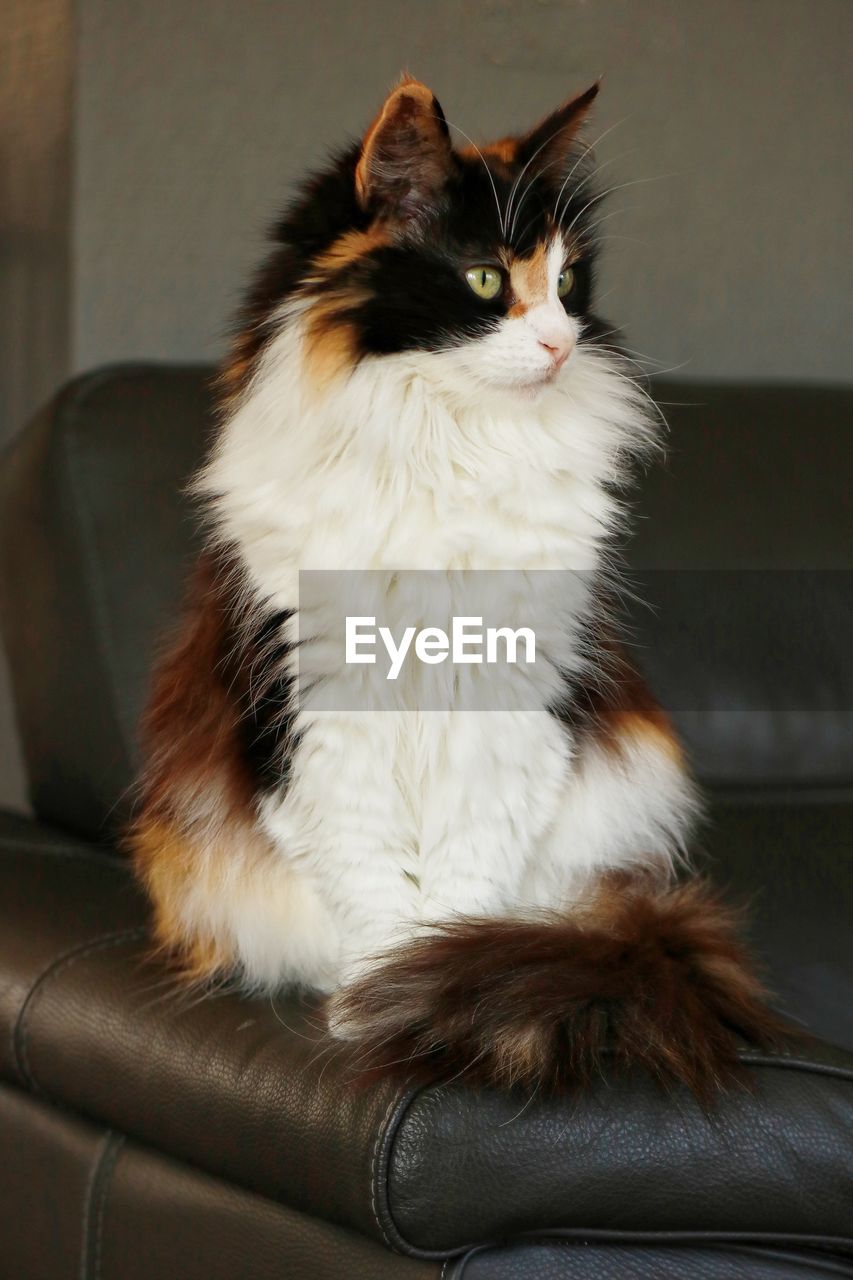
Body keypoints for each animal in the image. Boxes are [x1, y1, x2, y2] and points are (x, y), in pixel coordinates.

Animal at [129, 77, 778, 1100]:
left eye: (567, 282)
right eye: (484, 281)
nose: (559, 343)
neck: (445, 446)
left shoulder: (509, 708)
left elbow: (463, 885)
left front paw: (437, 991)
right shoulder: (321, 718)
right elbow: (373, 886)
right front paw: (382, 1005)